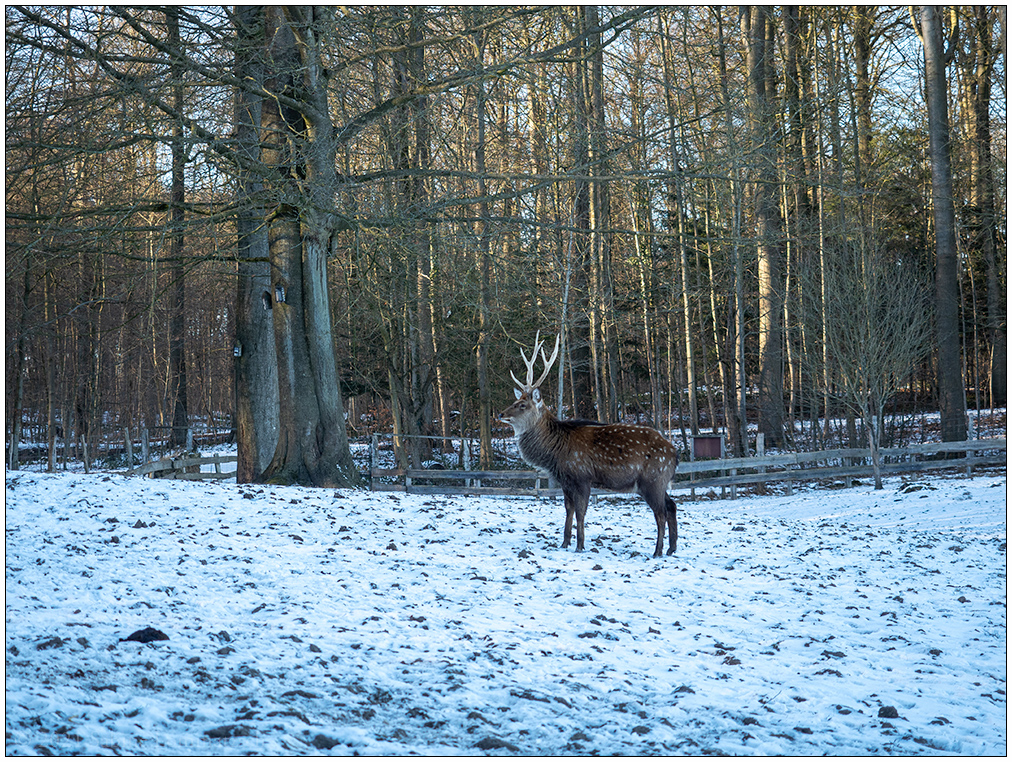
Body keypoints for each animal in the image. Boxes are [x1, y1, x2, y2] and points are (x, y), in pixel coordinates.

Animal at [500, 332, 680, 558]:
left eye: (522, 405)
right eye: (515, 401)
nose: (501, 414)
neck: (555, 453)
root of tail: (675, 454)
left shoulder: (582, 477)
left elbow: (580, 512)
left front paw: (580, 545)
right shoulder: (566, 481)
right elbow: (568, 510)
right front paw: (564, 543)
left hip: (653, 479)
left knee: (661, 513)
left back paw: (657, 551)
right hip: (659, 482)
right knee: (672, 506)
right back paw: (672, 548)